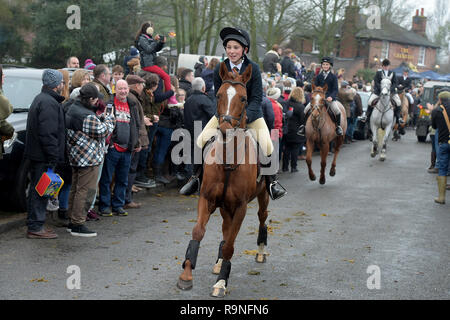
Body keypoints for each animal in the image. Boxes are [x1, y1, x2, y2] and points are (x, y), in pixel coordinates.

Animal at [177, 62, 270, 298]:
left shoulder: (240, 207)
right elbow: (198, 232)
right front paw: (186, 275)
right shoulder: (207, 199)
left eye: (244, 98)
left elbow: (230, 245)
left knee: (262, 218)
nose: (226, 127)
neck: (228, 160)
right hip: (224, 206)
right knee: (226, 230)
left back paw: (261, 251)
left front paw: (221, 283)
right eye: (217, 94)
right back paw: (219, 262)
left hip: (262, 196)